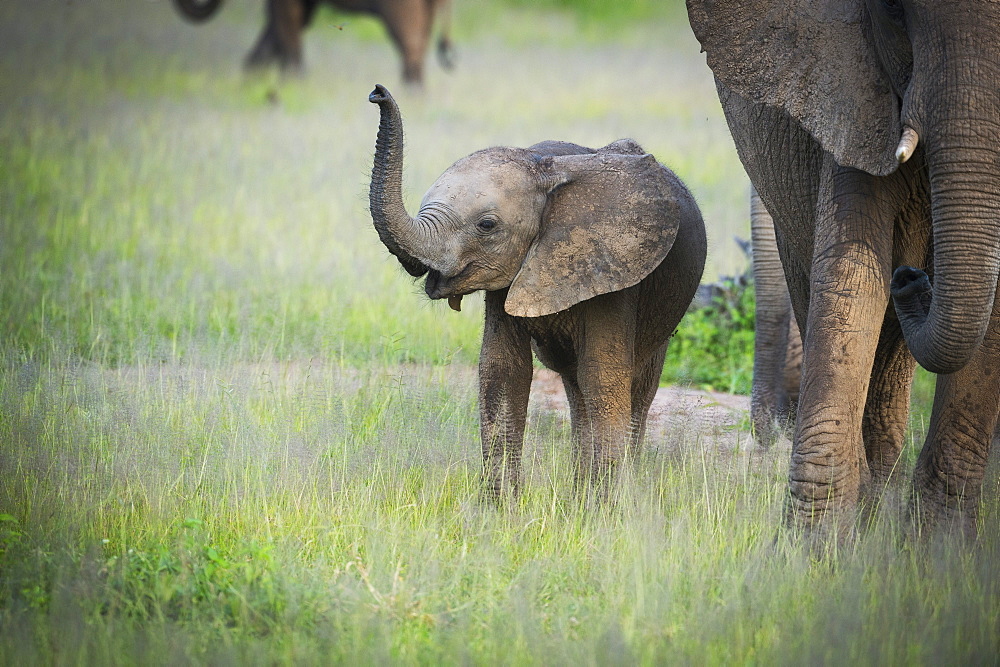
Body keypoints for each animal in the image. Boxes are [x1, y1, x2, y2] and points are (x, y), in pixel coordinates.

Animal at [372, 85, 708, 496]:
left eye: (487, 225)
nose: (377, 93)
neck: (545, 170)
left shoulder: (616, 272)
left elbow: (604, 374)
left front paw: (604, 508)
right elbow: (503, 370)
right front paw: (499, 508)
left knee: (636, 386)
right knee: (576, 387)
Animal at [688, 0, 1000, 536]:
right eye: (894, 12)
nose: (912, 278)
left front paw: (939, 549)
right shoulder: (848, 98)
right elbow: (851, 279)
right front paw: (811, 549)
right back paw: (870, 505)